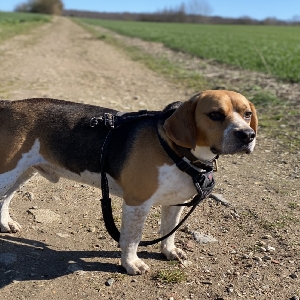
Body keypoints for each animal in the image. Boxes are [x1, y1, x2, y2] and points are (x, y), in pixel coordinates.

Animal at [0, 90, 258, 276]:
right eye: (215, 114)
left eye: (247, 114)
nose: (247, 135)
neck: (177, 150)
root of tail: (8, 105)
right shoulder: (137, 203)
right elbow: (132, 238)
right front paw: (131, 264)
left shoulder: (175, 202)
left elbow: (169, 230)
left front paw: (168, 251)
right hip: (9, 172)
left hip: (22, 173)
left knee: (4, 199)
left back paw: (5, 223)